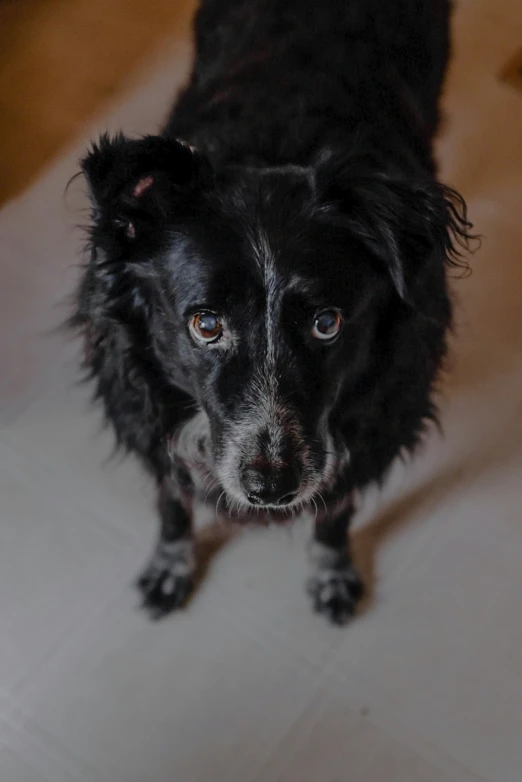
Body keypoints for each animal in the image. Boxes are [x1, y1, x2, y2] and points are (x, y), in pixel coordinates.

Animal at [71, 0, 474, 624]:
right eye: (205, 324)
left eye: (327, 323)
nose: (271, 489)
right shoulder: (147, 411)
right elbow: (172, 502)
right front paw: (169, 568)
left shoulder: (372, 423)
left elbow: (335, 512)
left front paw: (332, 574)